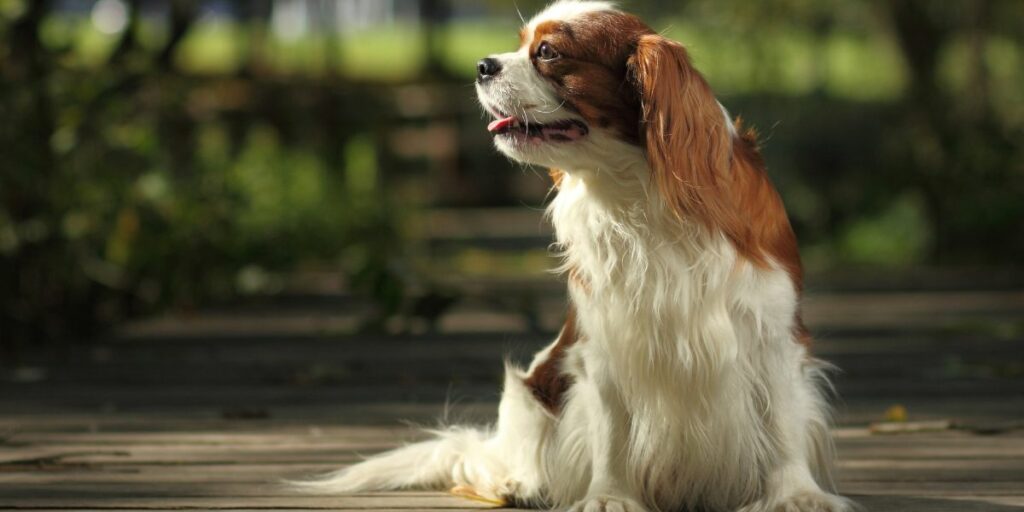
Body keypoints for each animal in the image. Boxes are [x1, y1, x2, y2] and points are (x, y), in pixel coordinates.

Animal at [299, 2, 851, 509]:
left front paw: (797, 494)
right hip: (528, 393)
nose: (482, 65)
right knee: (496, 458)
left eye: (547, 53)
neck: (634, 193)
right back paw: (514, 484)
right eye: (519, 44)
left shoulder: (771, 332)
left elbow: (782, 423)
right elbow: (613, 431)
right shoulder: (605, 341)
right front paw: (608, 496)